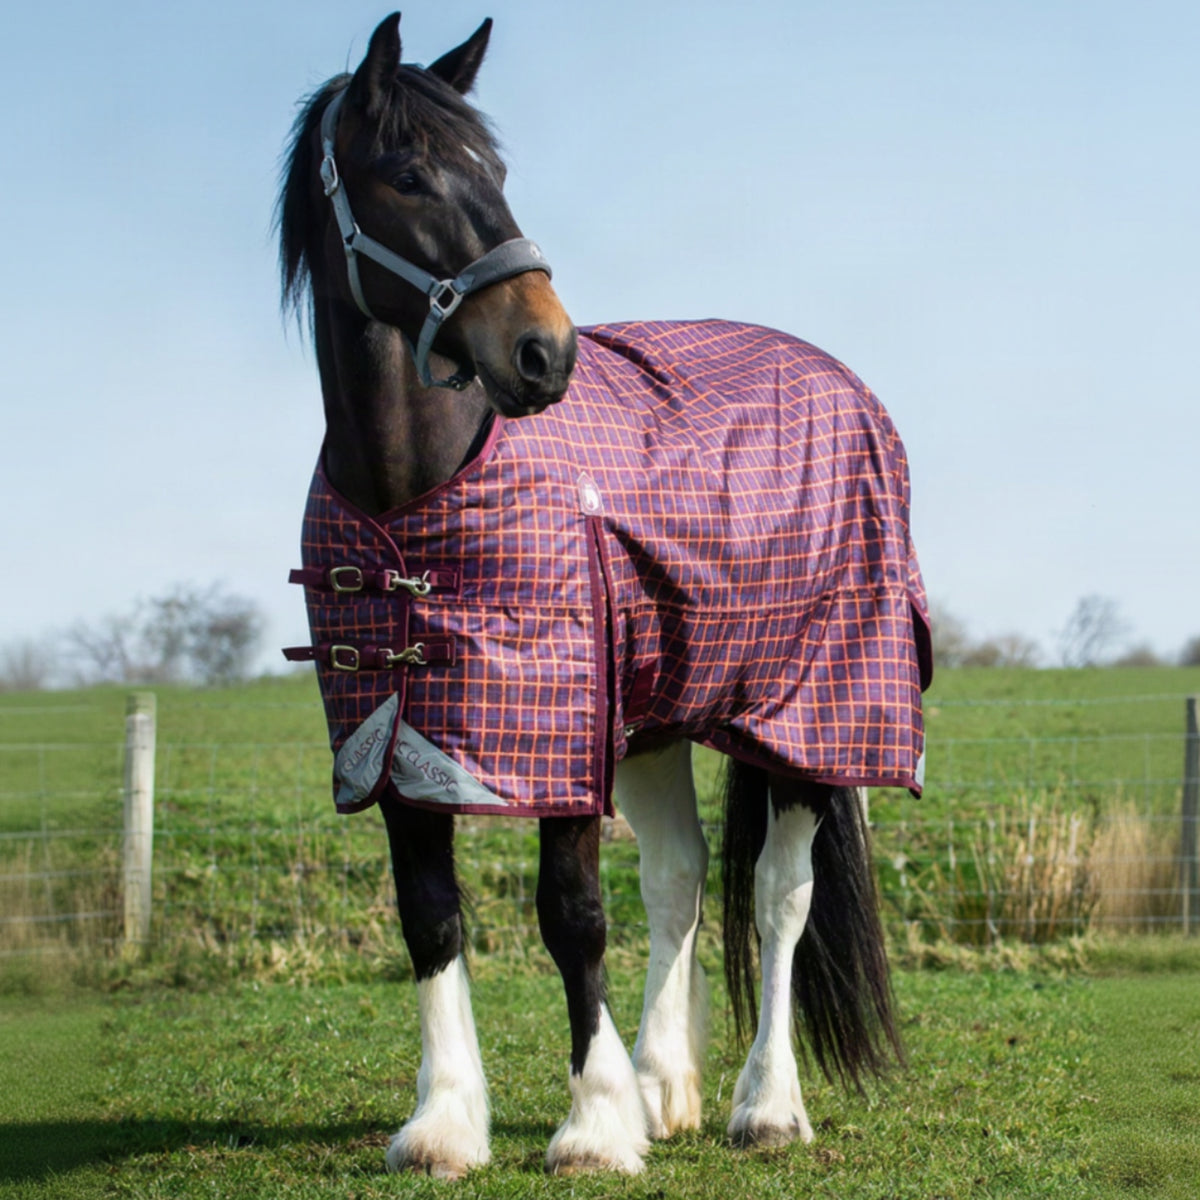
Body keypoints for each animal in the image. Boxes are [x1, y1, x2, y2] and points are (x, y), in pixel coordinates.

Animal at [277, 13, 930, 1178]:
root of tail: (838, 378)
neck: (413, 496)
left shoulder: (561, 736)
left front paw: (590, 1122)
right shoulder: (392, 737)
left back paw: (766, 1106)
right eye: (410, 174)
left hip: (812, 718)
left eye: (496, 172)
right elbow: (430, 916)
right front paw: (449, 1122)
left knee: (779, 895)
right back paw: (666, 1086)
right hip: (656, 716)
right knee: (677, 876)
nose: (546, 351)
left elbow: (571, 914)